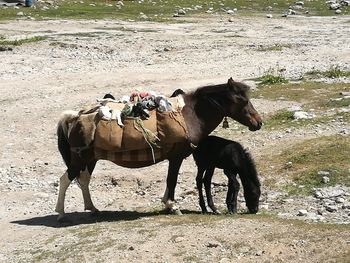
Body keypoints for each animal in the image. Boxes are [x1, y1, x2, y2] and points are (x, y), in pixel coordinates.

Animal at [55, 77, 262, 222]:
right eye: (243, 101)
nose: (258, 122)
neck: (189, 116)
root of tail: (74, 117)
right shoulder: (176, 157)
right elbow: (172, 180)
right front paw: (173, 206)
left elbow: (171, 182)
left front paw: (168, 204)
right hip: (80, 159)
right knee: (65, 179)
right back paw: (61, 213)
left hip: (90, 159)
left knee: (83, 180)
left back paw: (92, 208)